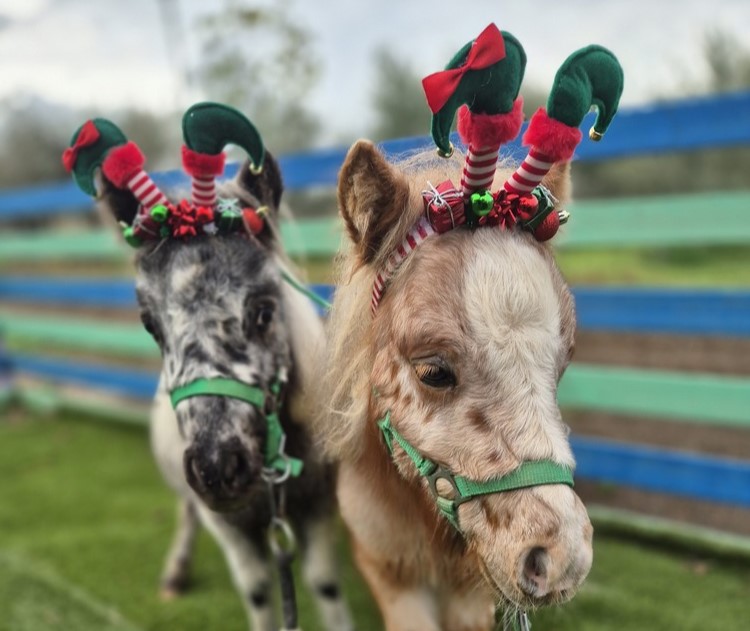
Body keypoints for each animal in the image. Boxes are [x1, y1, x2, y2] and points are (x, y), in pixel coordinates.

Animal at [64, 103, 356, 631]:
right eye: (150, 324)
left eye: (264, 310)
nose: (218, 468)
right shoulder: (227, 526)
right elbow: (258, 592)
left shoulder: (317, 507)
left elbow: (325, 584)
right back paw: (176, 572)